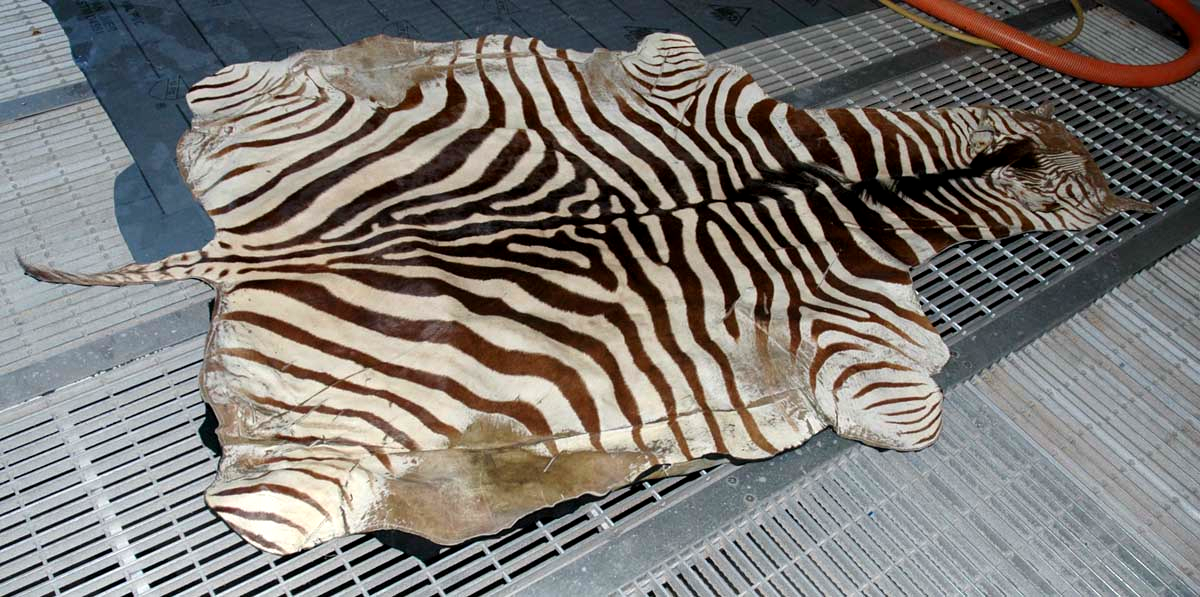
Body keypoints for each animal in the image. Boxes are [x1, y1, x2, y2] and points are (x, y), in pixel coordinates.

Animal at [21, 32, 1153, 554]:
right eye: (1090, 176)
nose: (1136, 199)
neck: (884, 194)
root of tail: (243, 248)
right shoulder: (867, 347)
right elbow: (915, 415)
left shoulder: (678, 71)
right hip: (331, 457)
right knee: (263, 508)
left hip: (269, 121)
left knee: (232, 91)